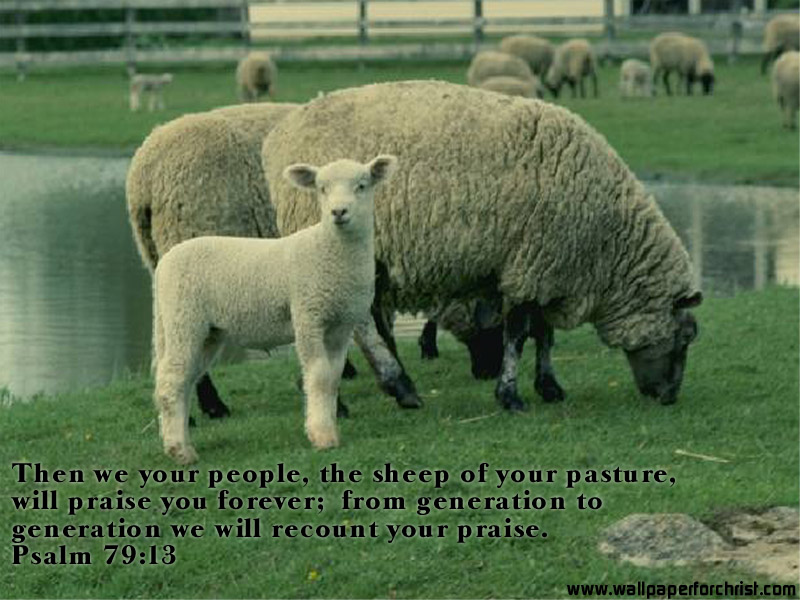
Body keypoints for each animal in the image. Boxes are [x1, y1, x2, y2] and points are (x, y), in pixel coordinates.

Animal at [153, 155, 397, 464]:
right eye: (322, 189)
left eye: (362, 185)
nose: (338, 212)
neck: (331, 252)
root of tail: (164, 262)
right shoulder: (307, 315)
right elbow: (318, 376)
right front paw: (321, 435)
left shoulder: (340, 326)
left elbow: (332, 378)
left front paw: (330, 427)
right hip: (183, 318)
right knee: (172, 380)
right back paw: (179, 450)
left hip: (207, 331)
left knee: (186, 379)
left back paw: (181, 442)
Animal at [261, 80, 703, 411]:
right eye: (686, 338)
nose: (668, 397)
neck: (608, 245)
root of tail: (279, 137)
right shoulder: (533, 263)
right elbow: (519, 335)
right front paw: (510, 395)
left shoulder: (544, 268)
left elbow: (543, 335)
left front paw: (549, 387)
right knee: (359, 325)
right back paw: (397, 387)